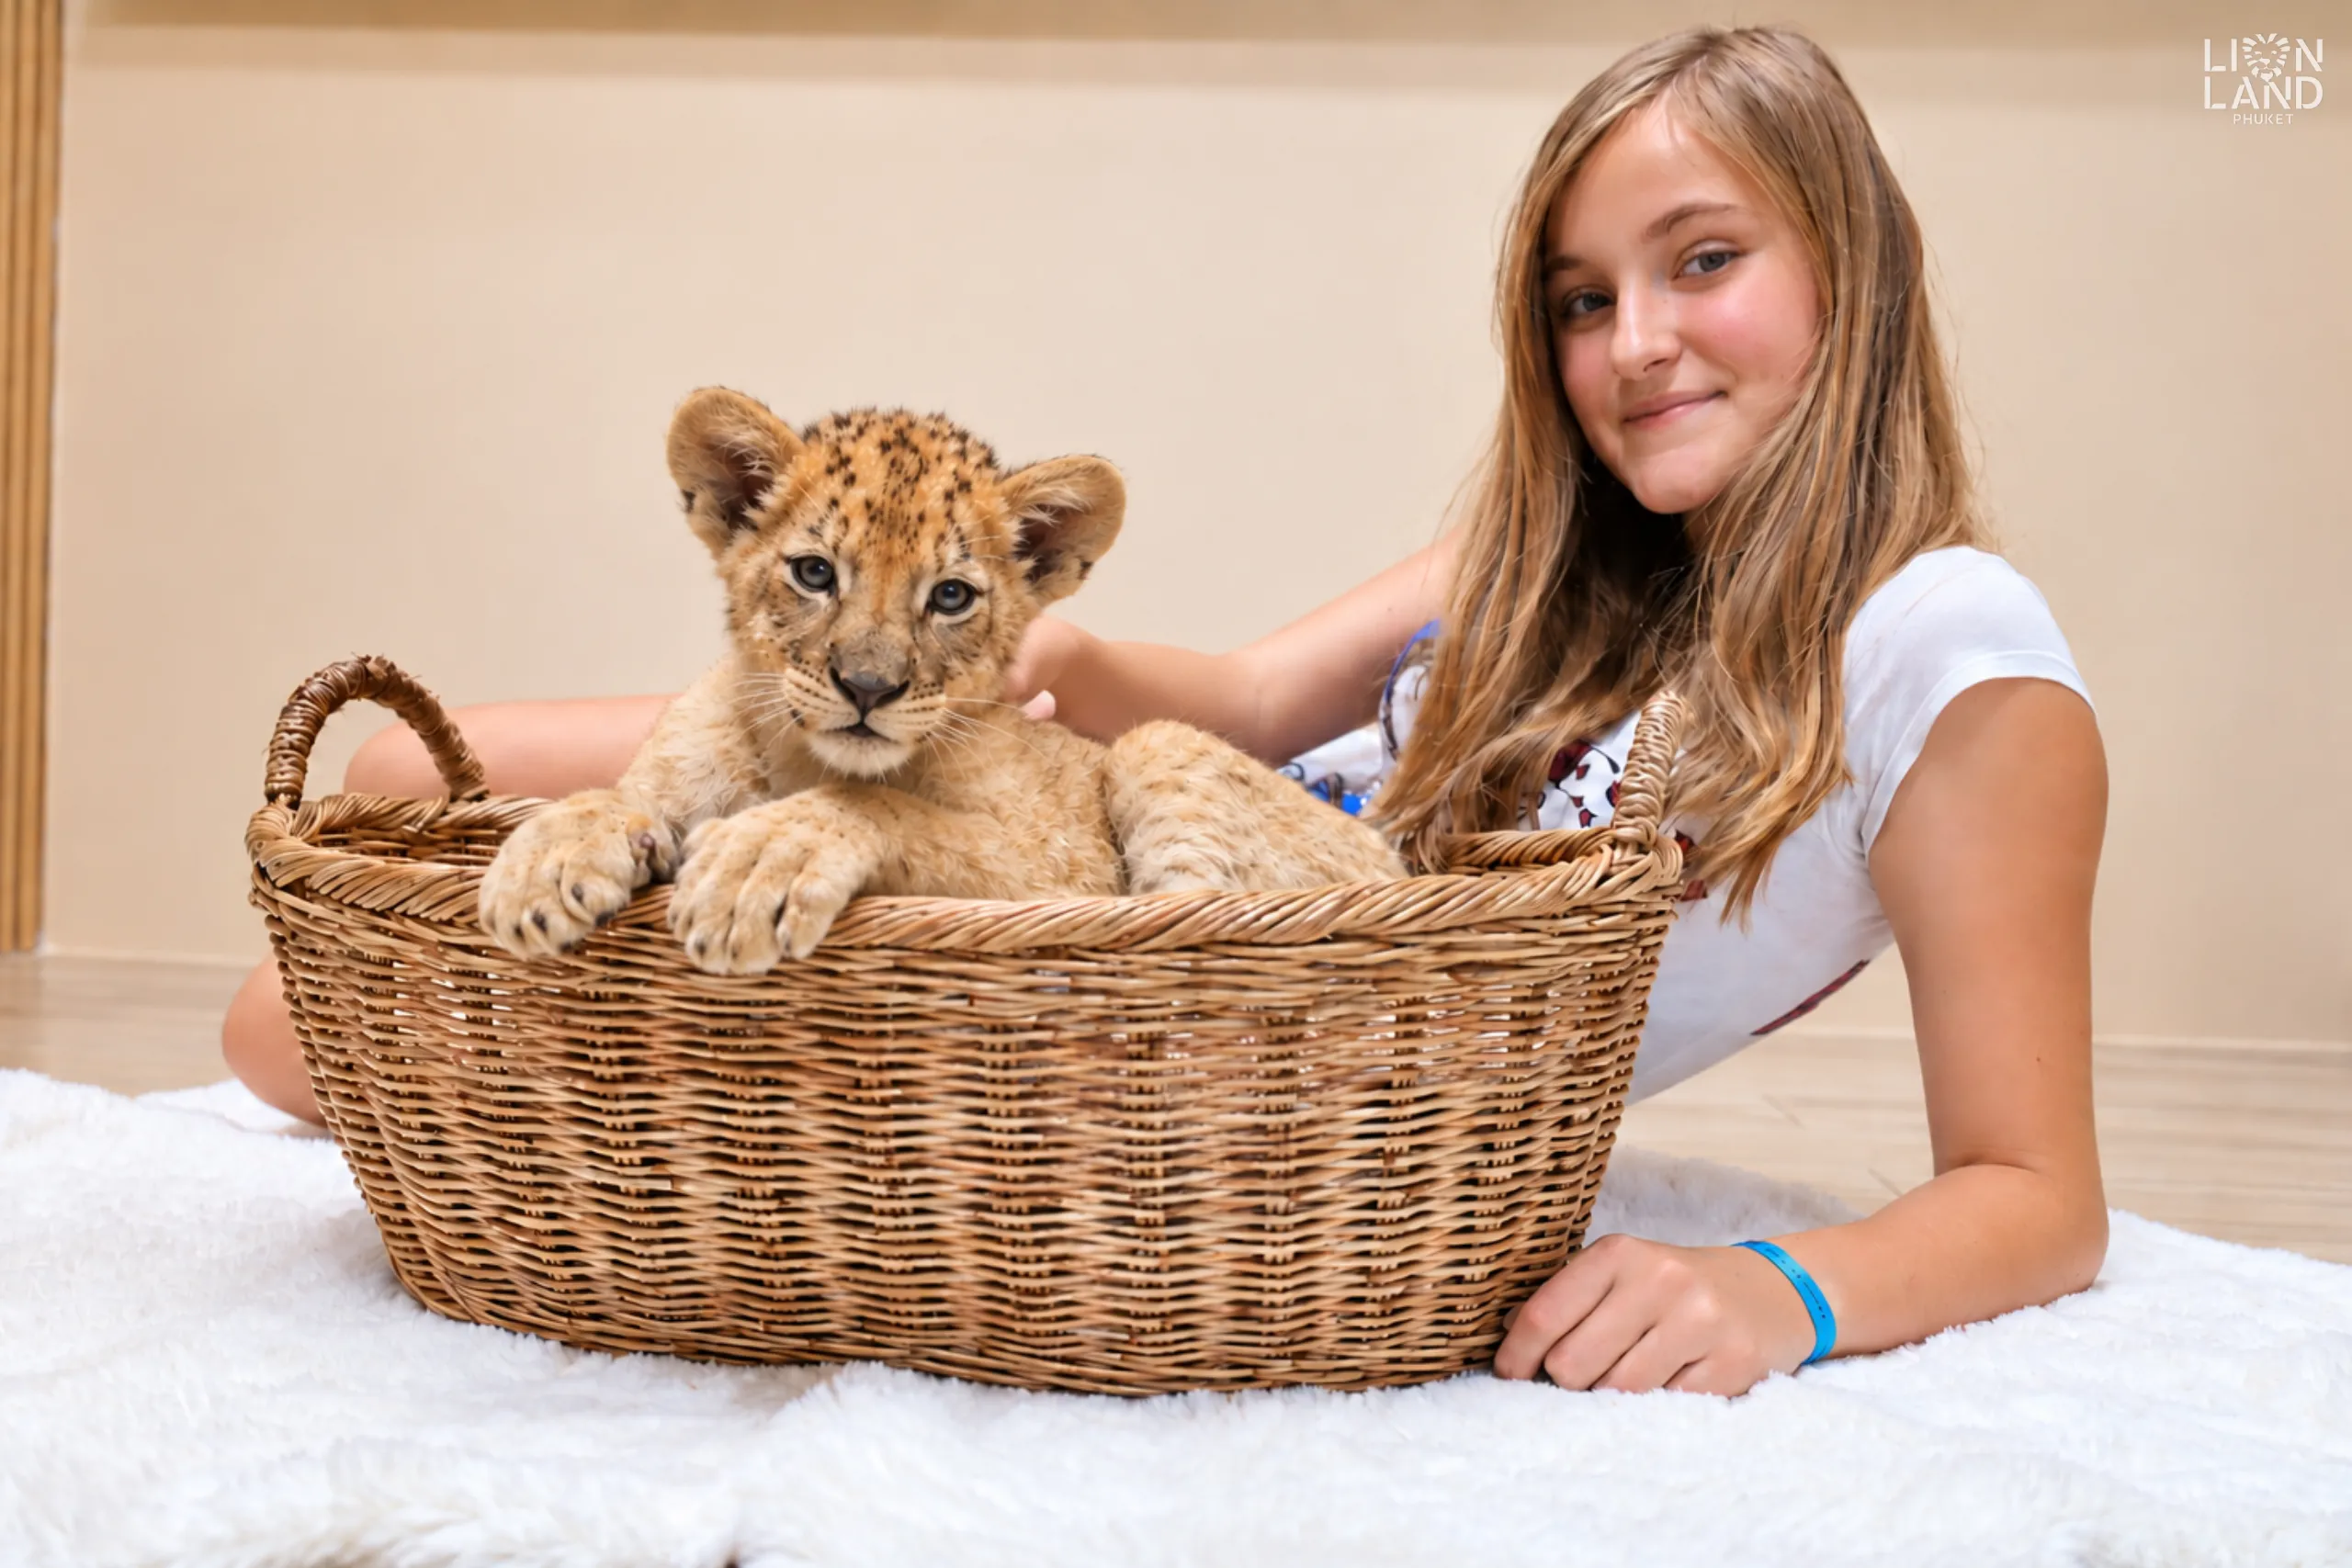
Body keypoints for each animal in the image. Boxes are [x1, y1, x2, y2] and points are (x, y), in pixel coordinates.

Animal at [478, 388, 1406, 974]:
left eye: (951, 596)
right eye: (814, 573)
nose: (866, 687)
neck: (802, 758)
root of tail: (1398, 857)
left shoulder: (1067, 882)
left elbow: (889, 808)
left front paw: (758, 861)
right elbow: (613, 796)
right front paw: (539, 866)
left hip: (1159, 748)